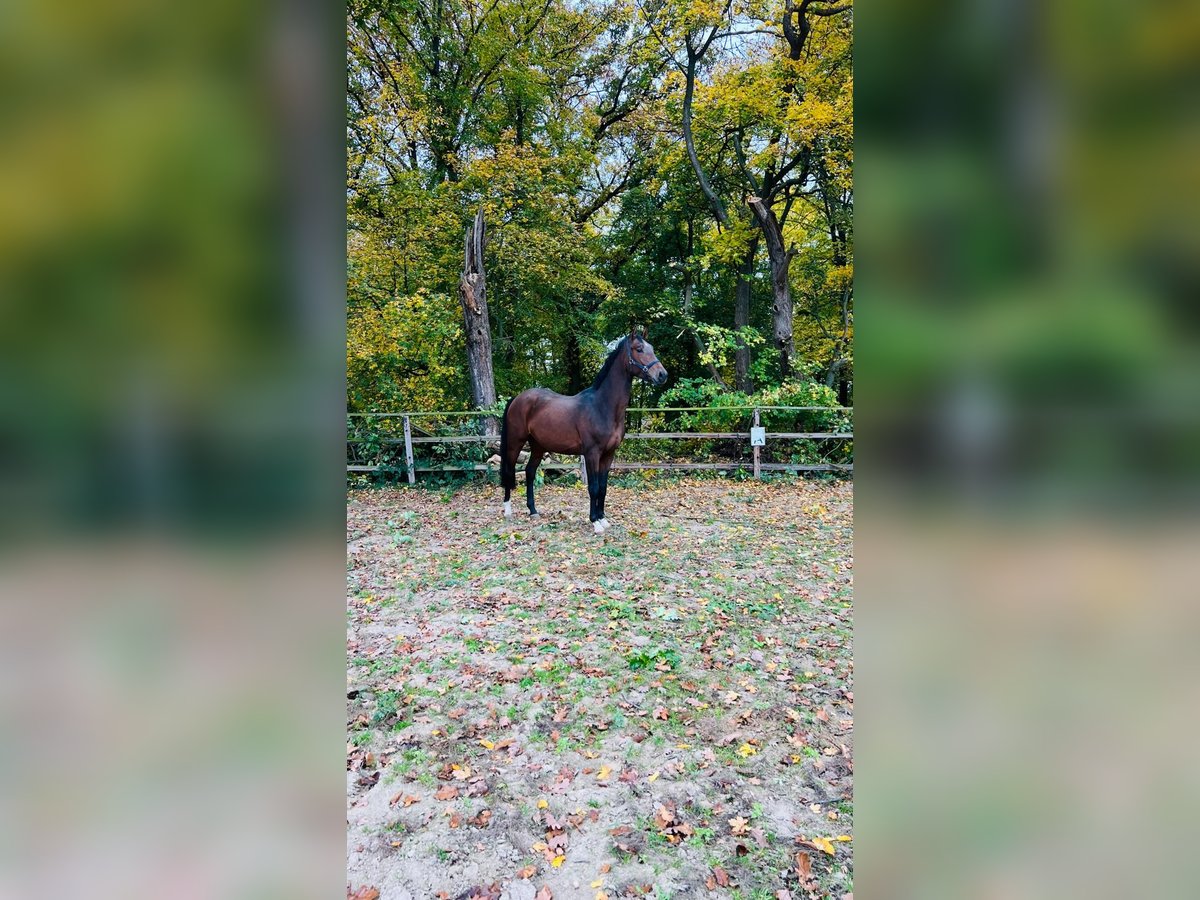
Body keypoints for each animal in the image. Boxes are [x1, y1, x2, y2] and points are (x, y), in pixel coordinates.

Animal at [496, 331, 667, 532]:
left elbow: (603, 487)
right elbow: (593, 487)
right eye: (639, 349)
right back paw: (507, 510)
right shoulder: (592, 453)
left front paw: (603, 519)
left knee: (530, 472)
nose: (662, 375)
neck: (602, 406)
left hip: (538, 446)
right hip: (515, 442)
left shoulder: (609, 454)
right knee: (509, 470)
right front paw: (595, 522)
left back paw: (533, 511)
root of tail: (517, 398)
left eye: (652, 348)